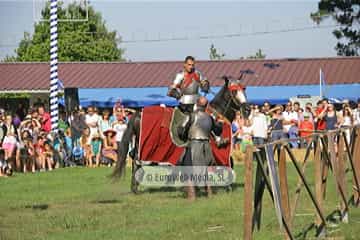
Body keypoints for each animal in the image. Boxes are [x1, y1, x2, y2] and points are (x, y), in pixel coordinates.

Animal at [111, 76, 249, 192]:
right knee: (136, 161)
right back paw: (136, 187)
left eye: (243, 89)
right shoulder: (214, 150)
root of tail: (138, 113)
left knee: (134, 158)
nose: (247, 109)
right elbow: (226, 163)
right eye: (234, 91)